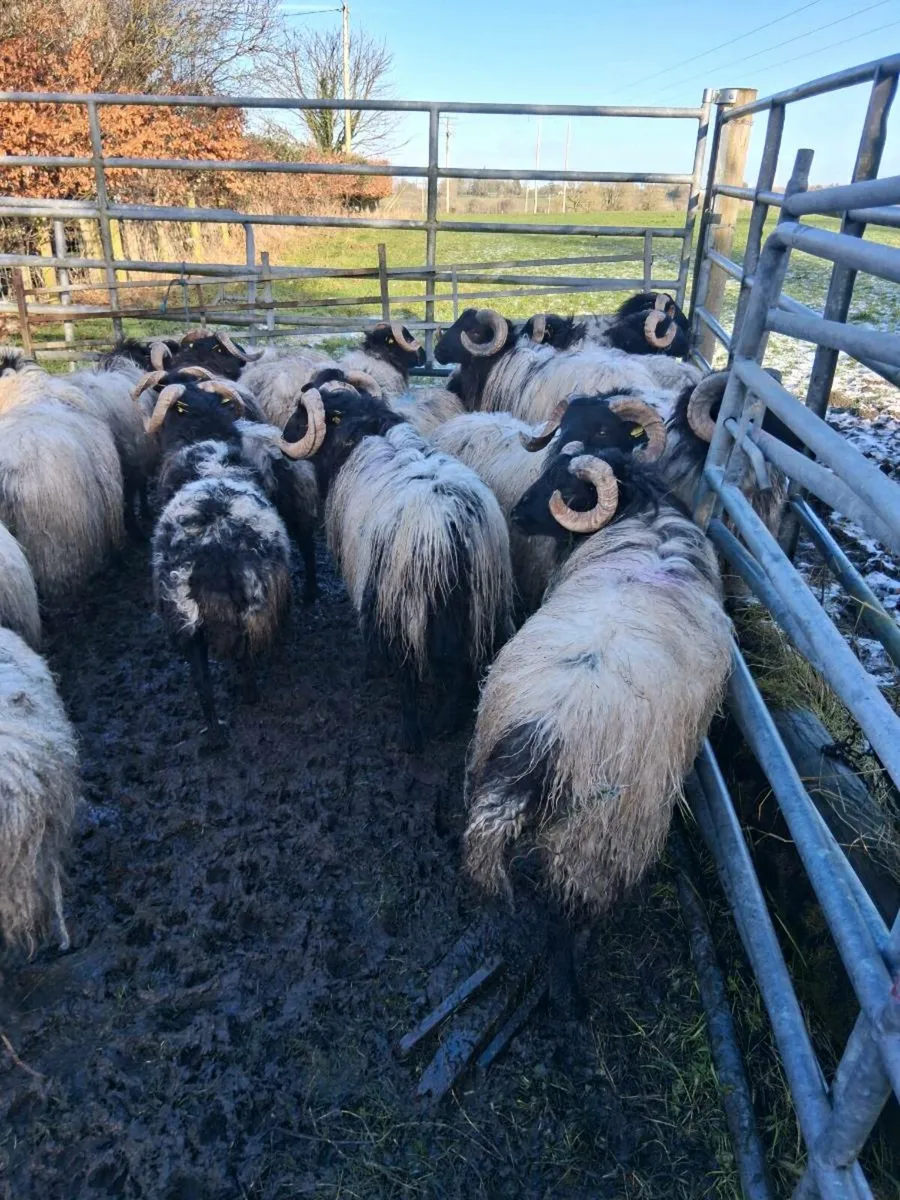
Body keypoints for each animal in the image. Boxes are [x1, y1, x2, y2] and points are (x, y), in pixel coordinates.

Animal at [280, 367, 514, 751]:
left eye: (302, 413)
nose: (283, 437)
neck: (362, 429)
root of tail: (447, 526)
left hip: (402, 603)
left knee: (408, 671)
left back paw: (412, 734)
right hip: (476, 603)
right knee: (463, 665)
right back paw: (446, 722)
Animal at [463, 394, 732, 1004]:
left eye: (569, 486)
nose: (517, 514)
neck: (645, 517)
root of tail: (538, 744)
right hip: (596, 842)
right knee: (566, 916)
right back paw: (570, 992)